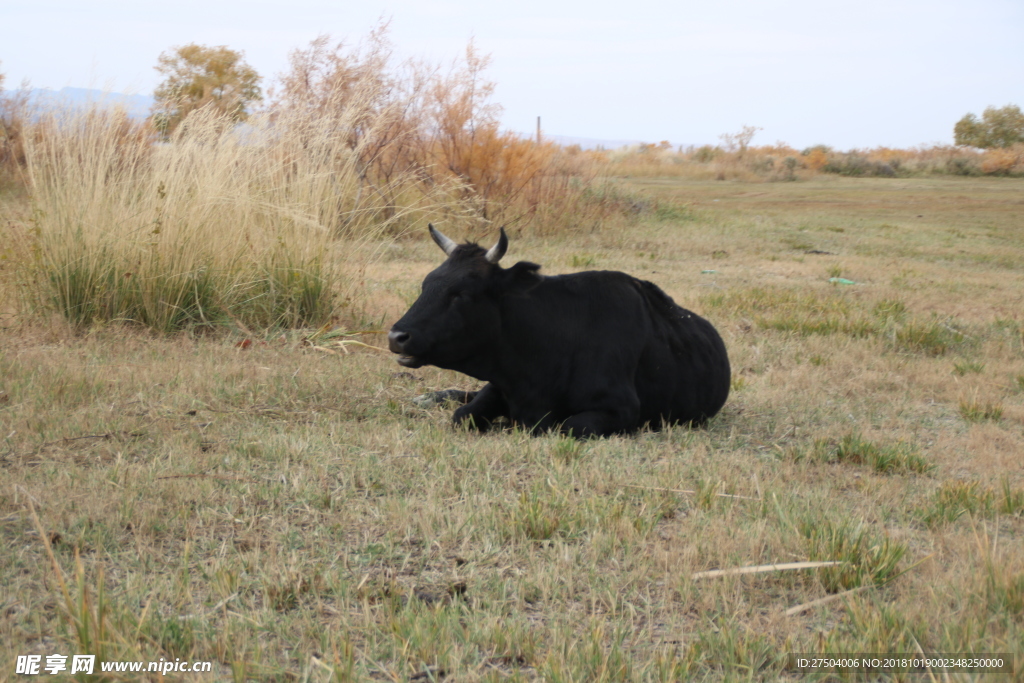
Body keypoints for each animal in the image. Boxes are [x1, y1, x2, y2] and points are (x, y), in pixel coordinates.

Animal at [385, 225, 729, 438]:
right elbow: (462, 415)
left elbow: (566, 427)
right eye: (426, 284)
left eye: (461, 294)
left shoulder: (621, 409)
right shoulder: (499, 385)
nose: (397, 337)